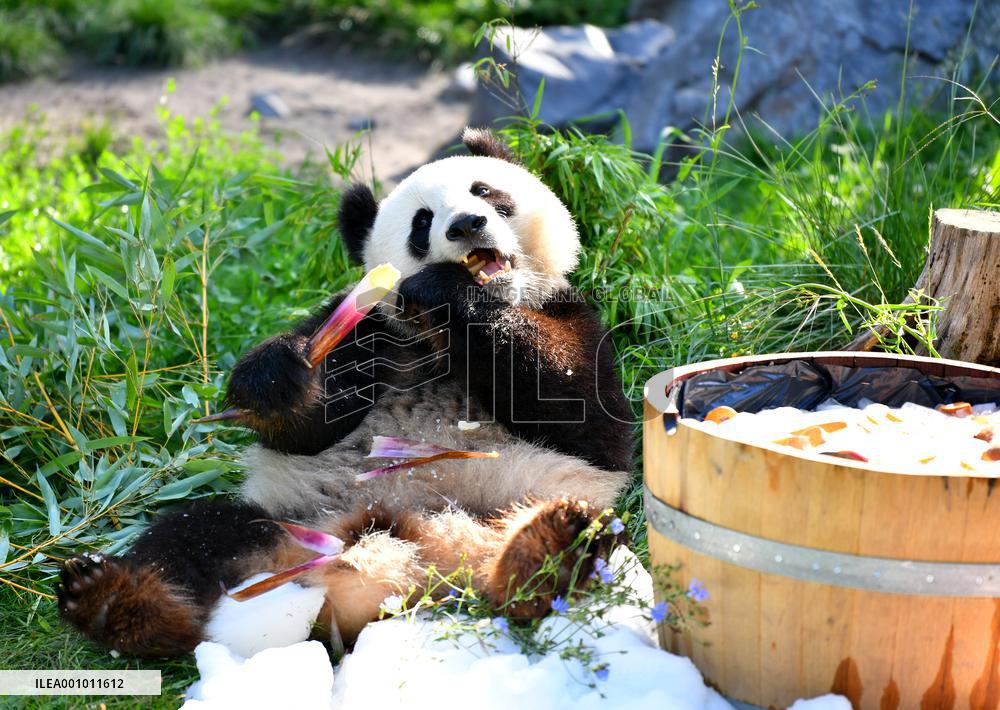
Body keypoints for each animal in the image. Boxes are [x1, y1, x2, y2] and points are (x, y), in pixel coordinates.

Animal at [57, 128, 635, 657]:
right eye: (422, 222)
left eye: (486, 190)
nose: (467, 225)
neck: (439, 340)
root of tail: (413, 562)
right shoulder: (370, 331)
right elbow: (311, 429)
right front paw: (274, 379)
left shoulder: (574, 318)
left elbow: (584, 417)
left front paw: (451, 293)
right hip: (287, 521)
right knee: (190, 535)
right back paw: (112, 600)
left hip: (514, 500)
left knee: (571, 545)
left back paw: (545, 548)